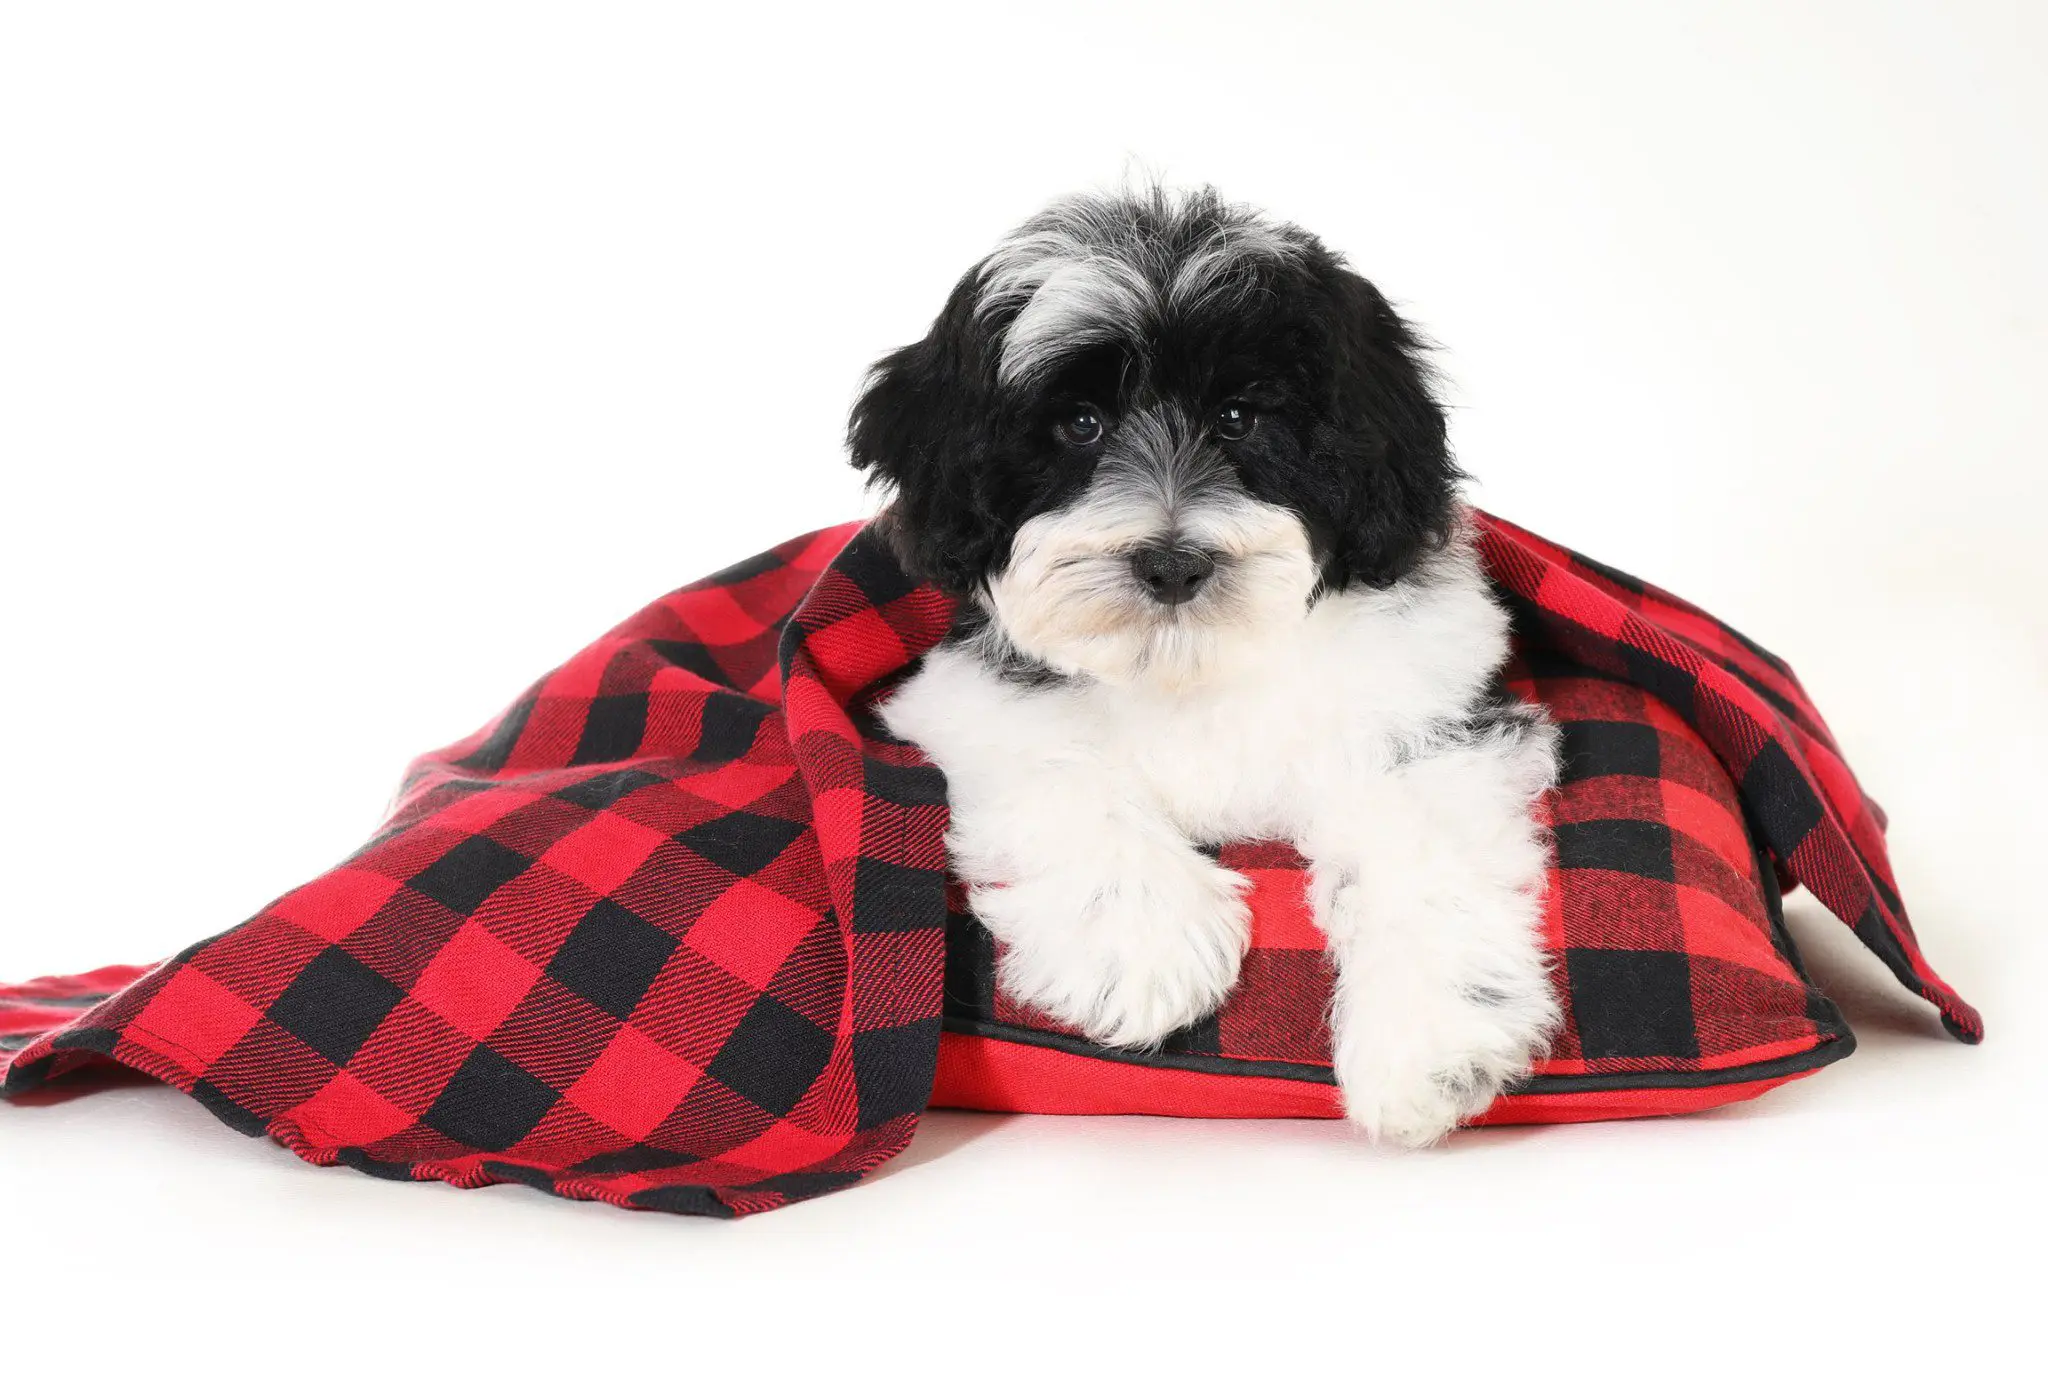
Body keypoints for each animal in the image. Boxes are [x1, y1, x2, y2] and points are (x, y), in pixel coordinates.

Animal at [856, 188, 1556, 1147]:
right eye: (1081, 425)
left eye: (1238, 418)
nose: (1171, 562)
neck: (1190, 665)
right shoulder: (971, 698)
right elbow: (1058, 773)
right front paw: (1140, 938)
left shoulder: (1425, 708)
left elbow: (1417, 841)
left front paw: (1428, 1037)